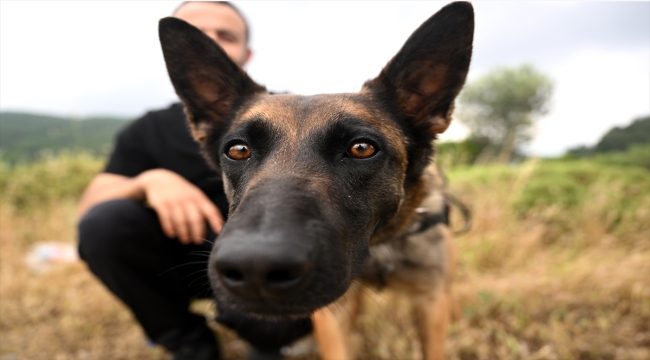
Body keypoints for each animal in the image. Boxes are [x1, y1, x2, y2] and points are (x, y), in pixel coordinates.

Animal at [157, 2, 470, 358]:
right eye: (238, 150)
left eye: (362, 148)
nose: (254, 270)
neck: (379, 244)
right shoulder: (334, 314)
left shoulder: (430, 302)